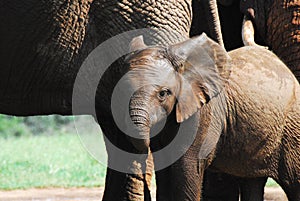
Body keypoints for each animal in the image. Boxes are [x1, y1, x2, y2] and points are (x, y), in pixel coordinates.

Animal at [125, 33, 300, 201]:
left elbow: (187, 168)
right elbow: (164, 170)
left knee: (294, 181)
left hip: (292, 128)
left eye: (163, 93)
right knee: (252, 181)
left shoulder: (201, 115)